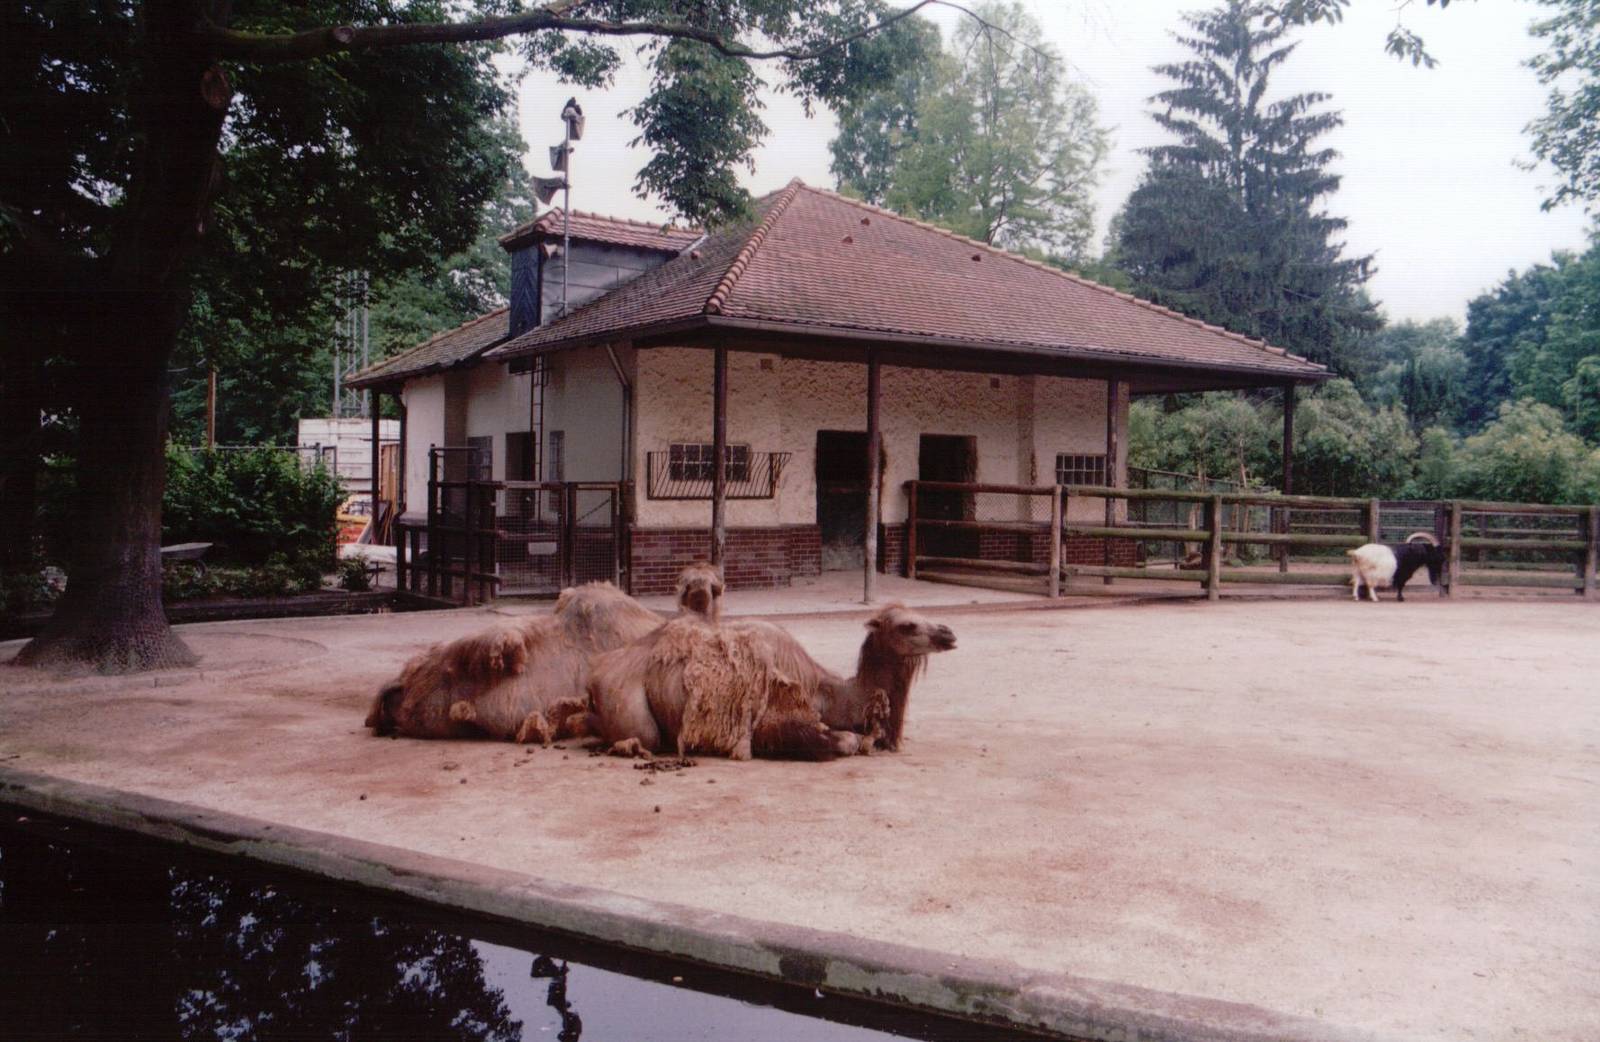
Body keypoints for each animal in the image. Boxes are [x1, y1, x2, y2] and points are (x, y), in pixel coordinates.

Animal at [587, 604, 956, 761]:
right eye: (907, 625)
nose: (948, 633)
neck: (827, 692)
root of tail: (595, 673)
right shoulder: (775, 721)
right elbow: (845, 742)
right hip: (626, 702)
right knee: (645, 736)